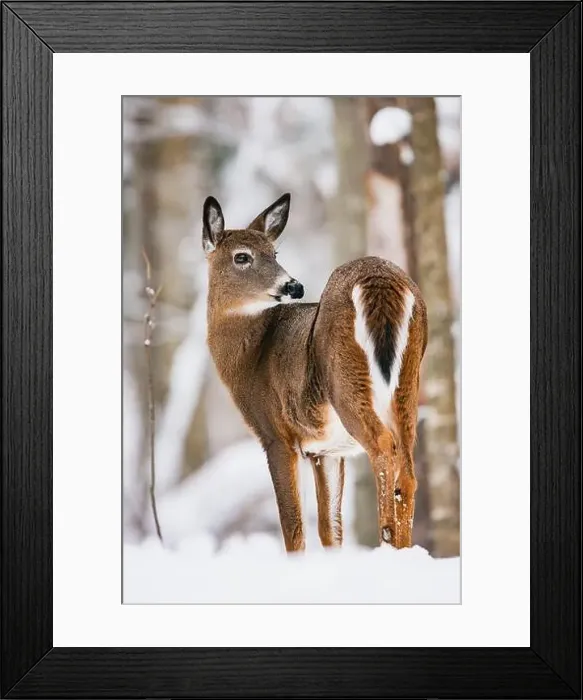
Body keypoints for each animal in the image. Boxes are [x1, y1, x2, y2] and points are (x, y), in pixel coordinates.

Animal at [202, 193, 427, 553]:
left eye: (274, 253)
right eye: (242, 256)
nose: (293, 286)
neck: (250, 357)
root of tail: (380, 280)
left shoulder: (276, 434)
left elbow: (293, 526)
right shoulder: (326, 450)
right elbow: (331, 528)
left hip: (346, 380)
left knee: (383, 445)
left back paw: (386, 538)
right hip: (408, 382)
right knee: (407, 473)